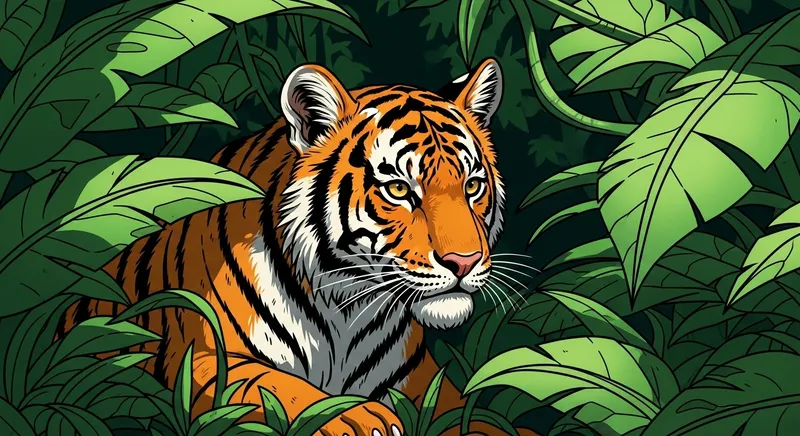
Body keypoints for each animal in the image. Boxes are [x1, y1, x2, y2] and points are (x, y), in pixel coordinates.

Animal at [61, 57, 538, 436]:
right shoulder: (202, 359)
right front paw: (353, 417)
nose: (464, 262)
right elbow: (276, 383)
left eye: (472, 186)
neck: (348, 309)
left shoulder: (426, 386)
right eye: (400, 189)